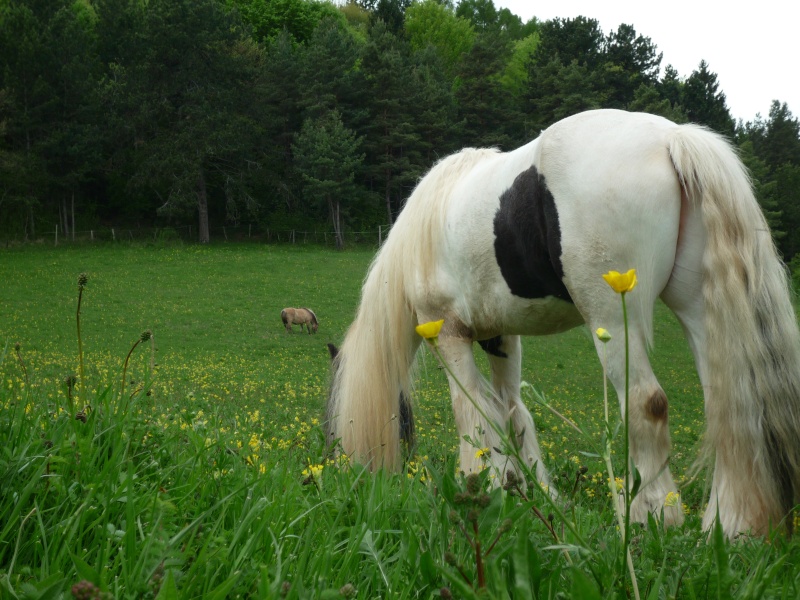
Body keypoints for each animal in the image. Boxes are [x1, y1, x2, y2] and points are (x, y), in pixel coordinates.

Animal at [324, 110, 800, 536]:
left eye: (331, 412)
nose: (335, 462)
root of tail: (672, 139)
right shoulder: (500, 337)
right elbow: (511, 411)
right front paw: (529, 491)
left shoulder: (448, 333)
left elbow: (473, 414)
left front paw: (480, 484)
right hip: (697, 311)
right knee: (728, 405)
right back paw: (729, 523)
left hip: (613, 318)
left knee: (646, 402)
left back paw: (652, 515)